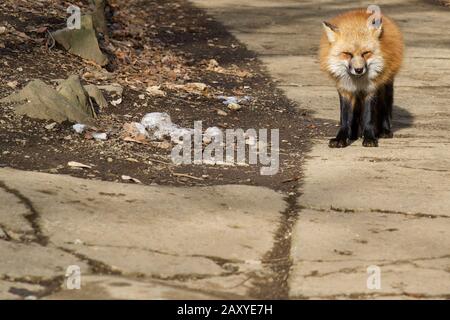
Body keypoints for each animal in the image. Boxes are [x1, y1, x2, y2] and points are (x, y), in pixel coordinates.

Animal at [320, 8, 404, 146]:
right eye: (347, 54)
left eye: (366, 53)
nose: (359, 70)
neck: (358, 81)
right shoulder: (345, 90)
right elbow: (345, 118)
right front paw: (341, 138)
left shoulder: (371, 90)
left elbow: (368, 117)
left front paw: (369, 137)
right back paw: (353, 134)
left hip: (386, 86)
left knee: (385, 108)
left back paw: (385, 130)